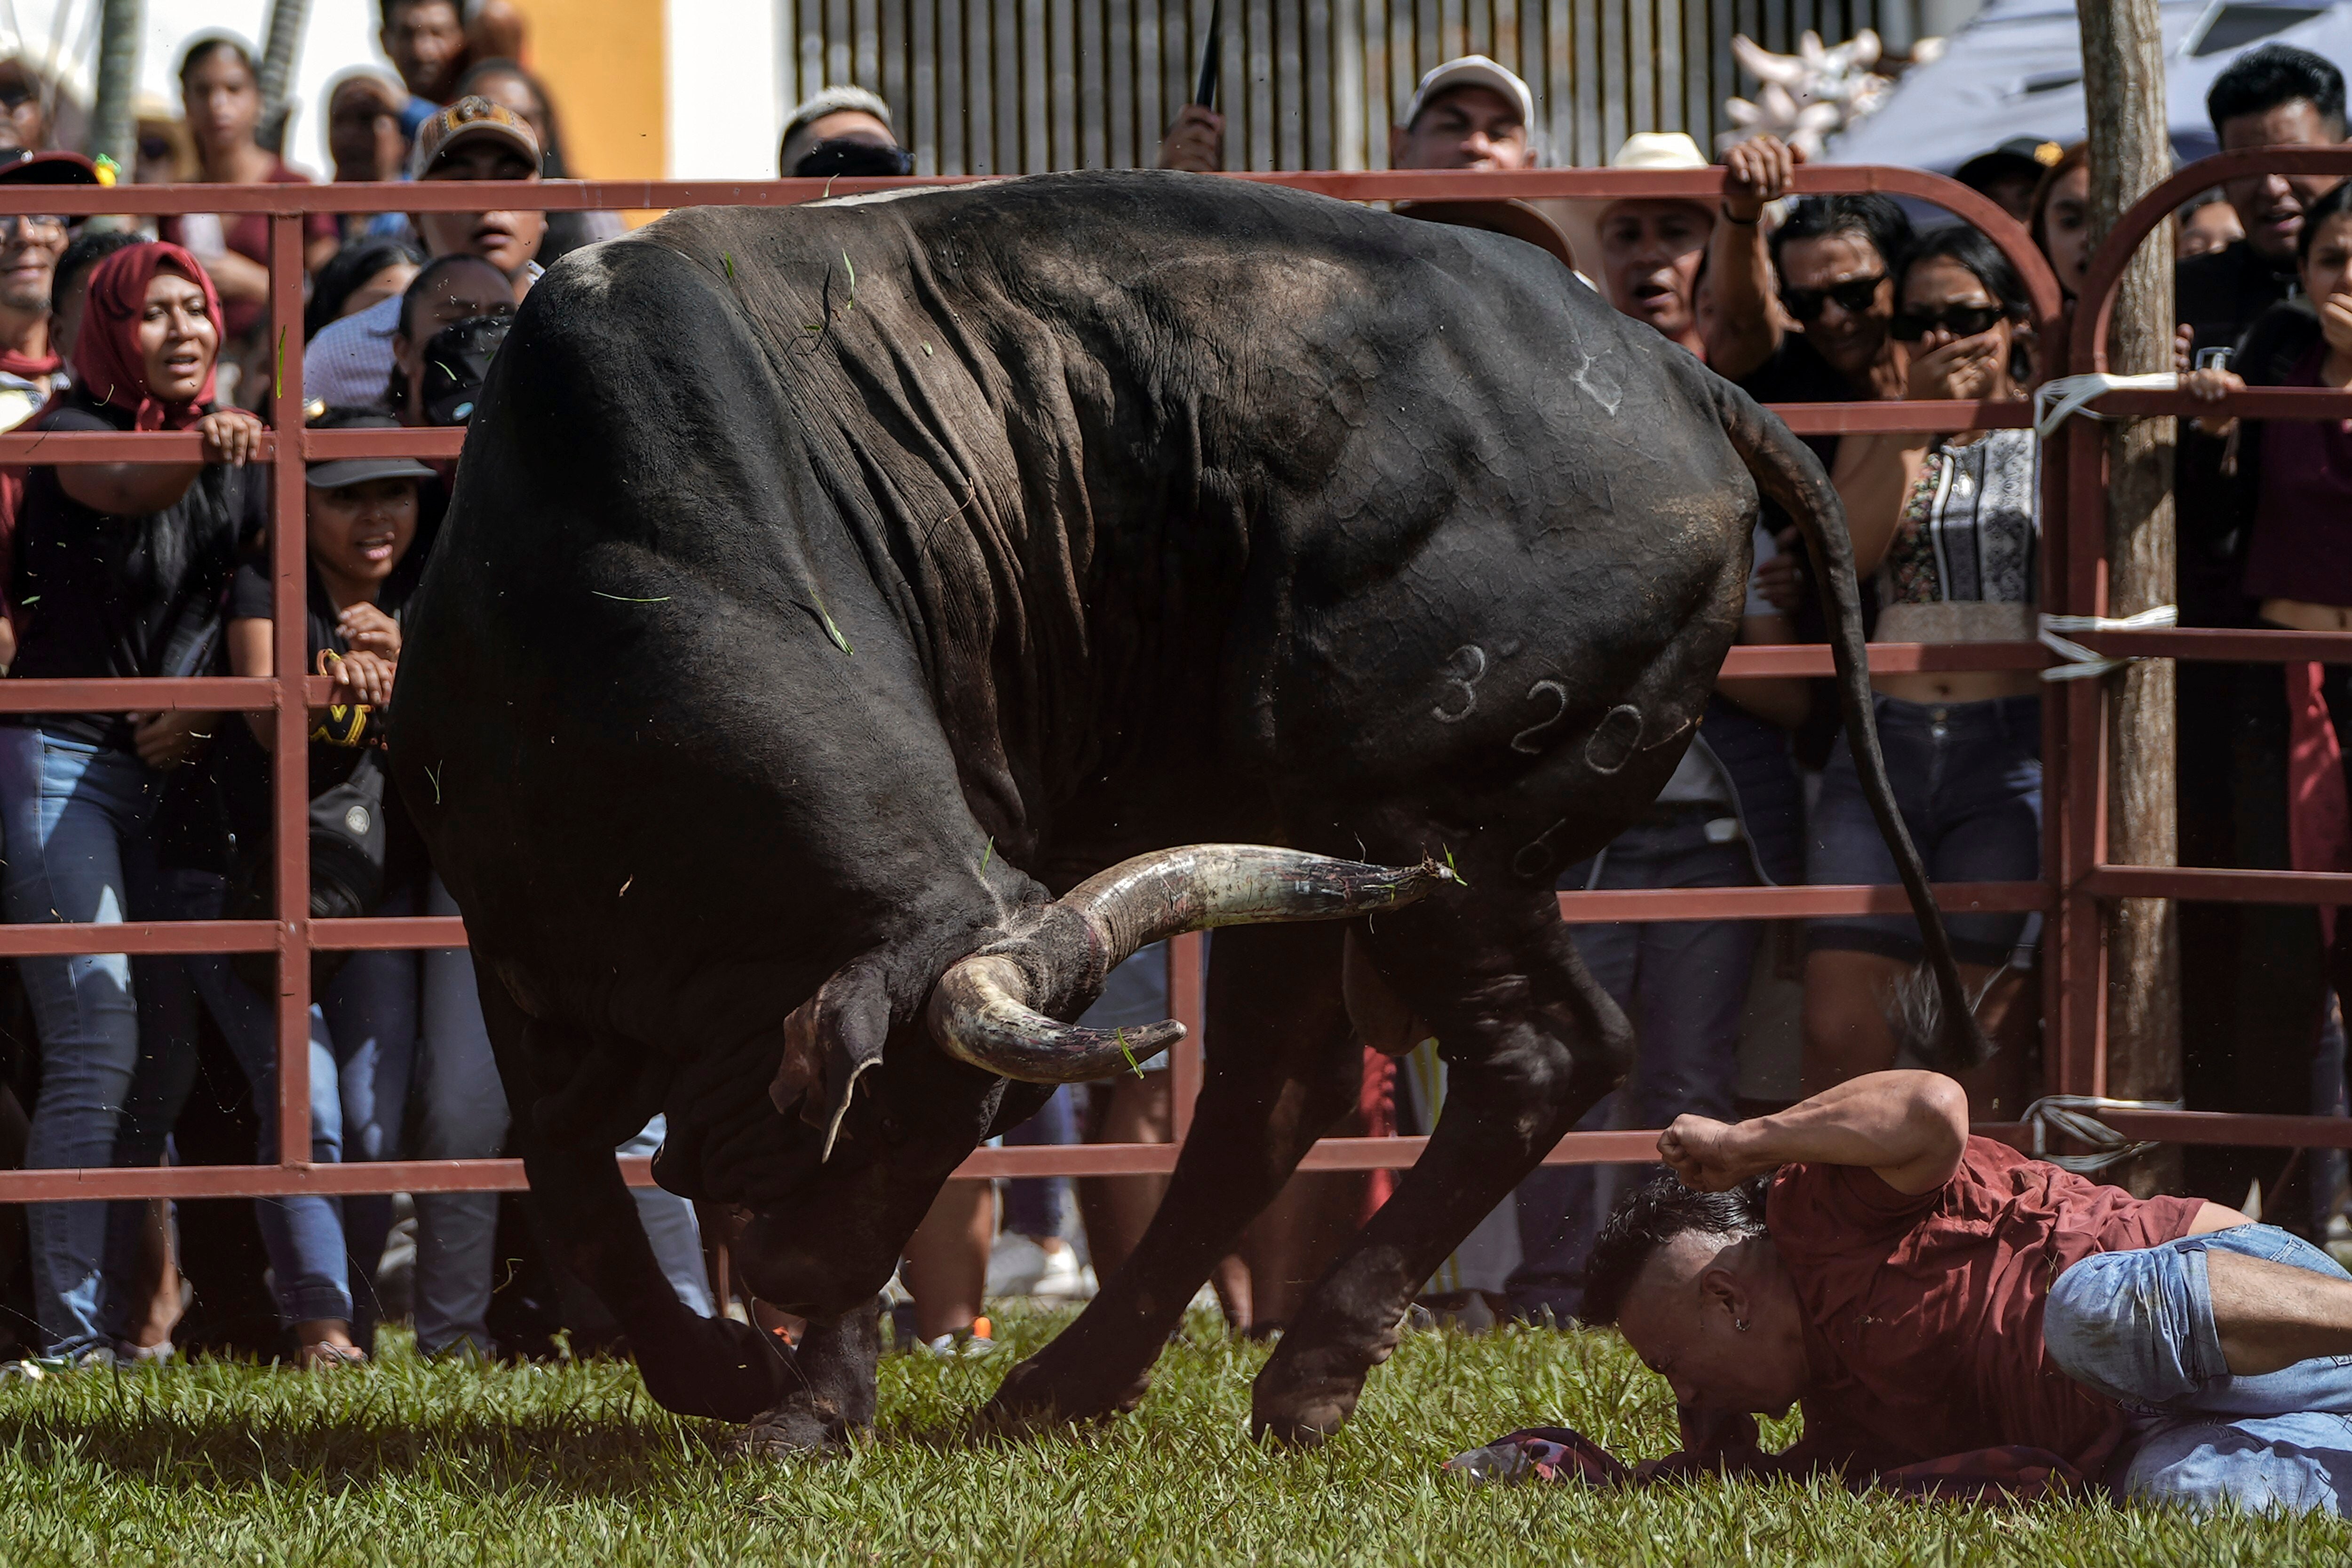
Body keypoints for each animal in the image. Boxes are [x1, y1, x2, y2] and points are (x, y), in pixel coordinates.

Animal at [390, 171, 1985, 1448]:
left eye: (956, 1128)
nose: (791, 1279)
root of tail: (1677, 373)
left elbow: (584, 1168)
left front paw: (784, 1393)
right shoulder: (510, 931)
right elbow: (564, 1163)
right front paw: (739, 1371)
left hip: (1439, 833)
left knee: (1539, 1051)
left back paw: (1307, 1369)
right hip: (1304, 843)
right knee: (1269, 1099)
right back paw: (1072, 1381)